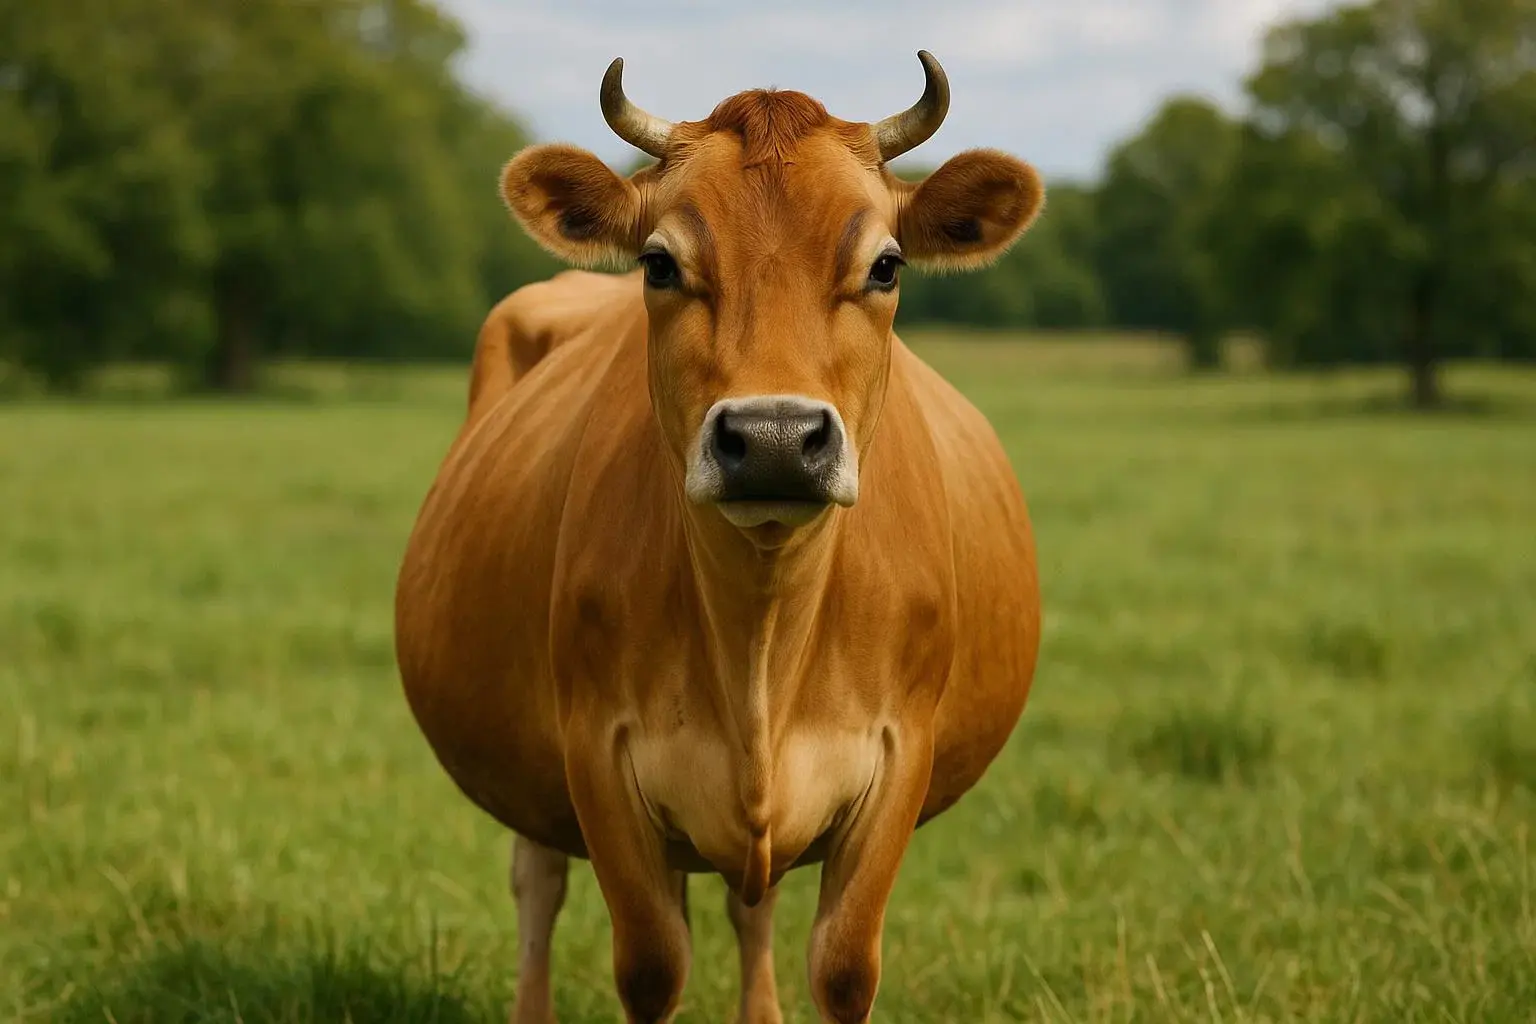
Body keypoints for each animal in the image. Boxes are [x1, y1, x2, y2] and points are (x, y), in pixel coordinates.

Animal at [394, 51, 1043, 1024]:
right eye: (660, 264)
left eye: (887, 266)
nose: (773, 436)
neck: (762, 642)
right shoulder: (596, 756)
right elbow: (652, 965)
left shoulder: (900, 759)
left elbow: (842, 967)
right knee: (538, 884)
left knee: (753, 904)